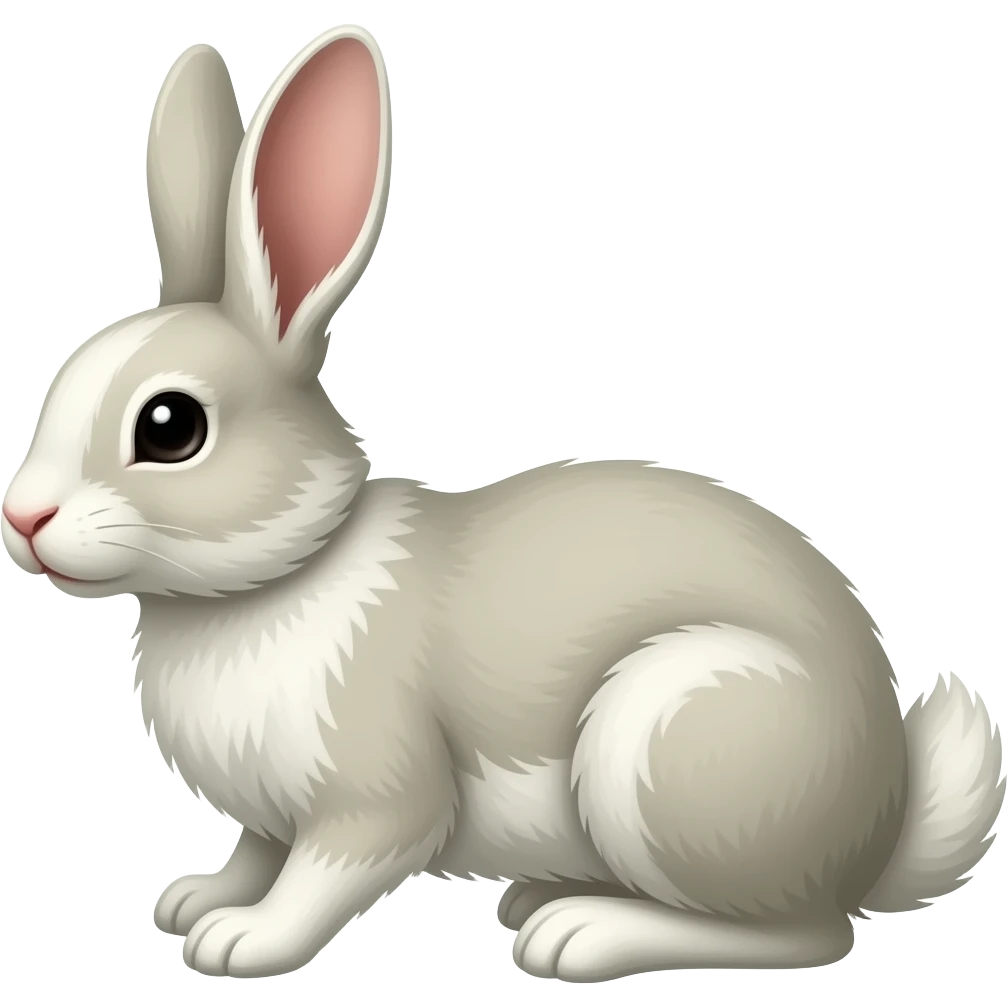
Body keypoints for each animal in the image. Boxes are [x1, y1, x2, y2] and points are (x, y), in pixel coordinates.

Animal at [1, 25, 1004, 984]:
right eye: (60, 378)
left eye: (171, 426)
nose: (23, 520)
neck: (275, 576)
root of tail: (880, 828)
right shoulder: (270, 814)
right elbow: (255, 852)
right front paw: (195, 899)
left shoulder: (375, 798)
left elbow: (327, 874)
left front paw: (242, 942)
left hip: (668, 740)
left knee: (805, 934)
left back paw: (581, 935)